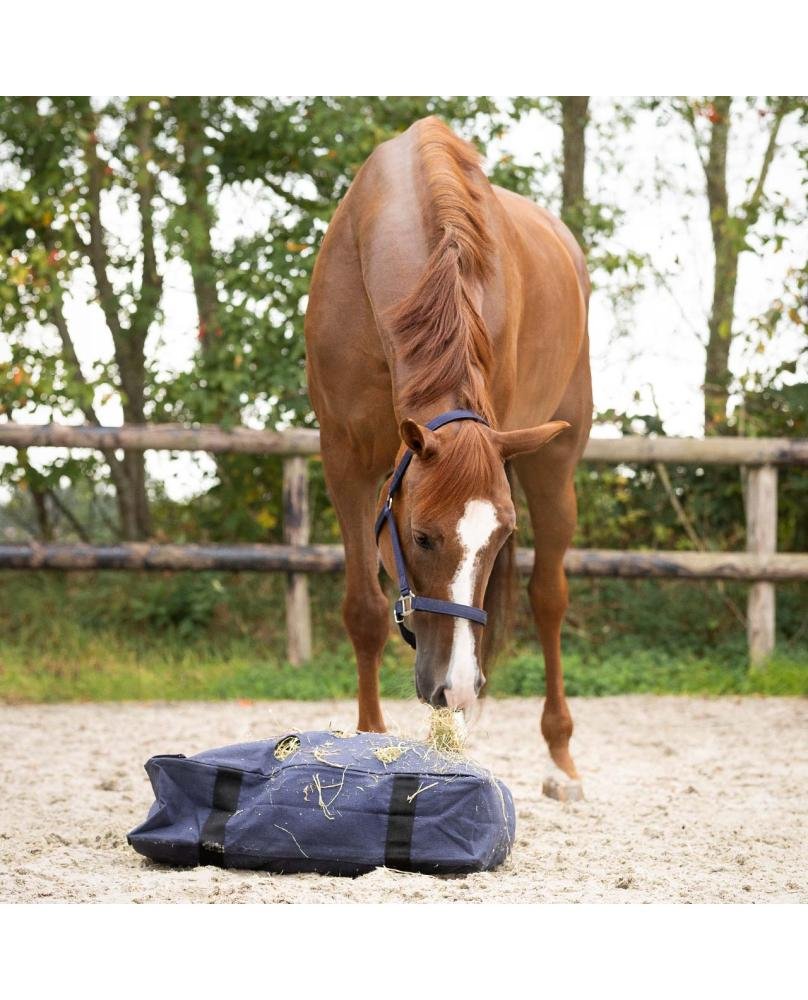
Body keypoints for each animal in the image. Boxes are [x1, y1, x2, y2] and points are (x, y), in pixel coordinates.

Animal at [306, 115, 592, 796]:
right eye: (422, 537)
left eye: (499, 538)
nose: (455, 688)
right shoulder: (345, 459)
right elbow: (364, 611)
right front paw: (370, 740)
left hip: (555, 460)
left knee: (549, 596)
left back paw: (559, 757)